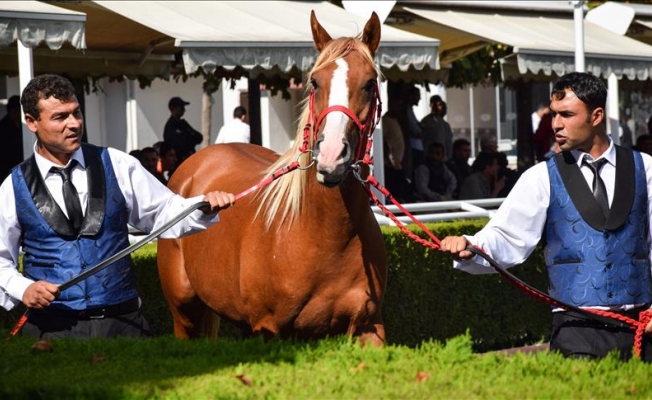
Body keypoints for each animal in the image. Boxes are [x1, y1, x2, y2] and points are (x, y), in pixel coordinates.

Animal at [158, 10, 388, 346]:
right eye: (315, 82)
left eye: (370, 84)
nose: (332, 156)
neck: (323, 234)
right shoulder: (270, 331)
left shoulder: (369, 328)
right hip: (183, 314)